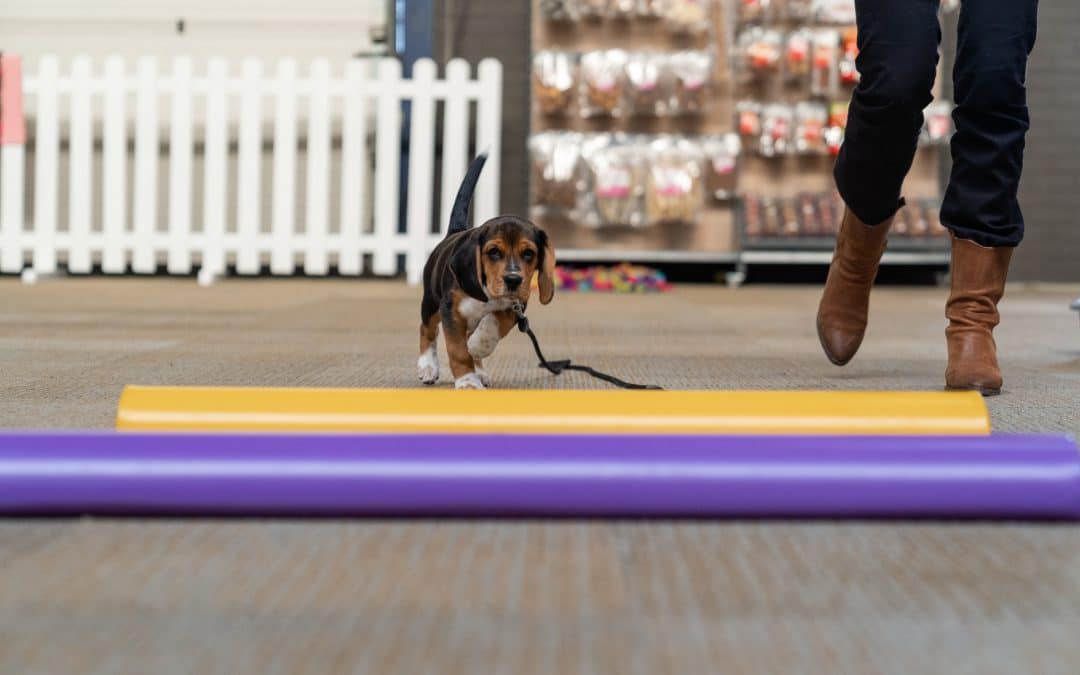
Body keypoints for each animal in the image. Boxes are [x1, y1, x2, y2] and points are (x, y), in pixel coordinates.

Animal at [419, 151, 557, 386]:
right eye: (493, 252)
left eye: (529, 253)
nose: (513, 280)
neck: (487, 293)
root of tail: (453, 233)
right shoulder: (450, 310)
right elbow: (458, 350)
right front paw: (467, 382)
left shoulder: (516, 306)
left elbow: (495, 321)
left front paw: (479, 346)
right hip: (431, 302)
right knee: (427, 330)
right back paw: (428, 367)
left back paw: (480, 369)